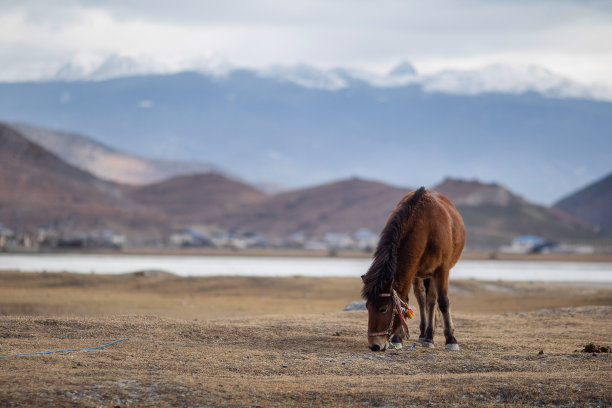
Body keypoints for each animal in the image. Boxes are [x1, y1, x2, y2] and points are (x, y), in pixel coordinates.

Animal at [360, 188, 466, 350]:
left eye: (383, 309)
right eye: (367, 306)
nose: (374, 345)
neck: (427, 228)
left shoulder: (442, 270)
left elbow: (443, 302)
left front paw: (451, 340)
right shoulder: (412, 271)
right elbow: (405, 302)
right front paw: (398, 338)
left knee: (432, 301)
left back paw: (429, 337)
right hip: (420, 275)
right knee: (423, 299)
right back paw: (424, 335)